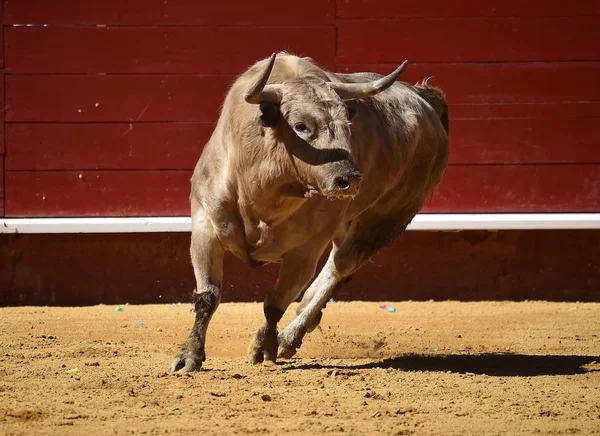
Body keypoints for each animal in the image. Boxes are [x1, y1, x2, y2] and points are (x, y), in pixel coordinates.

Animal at [166, 52, 448, 372]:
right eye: (300, 126)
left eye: (347, 126)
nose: (349, 178)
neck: (261, 191)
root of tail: (424, 99)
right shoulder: (205, 226)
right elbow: (208, 297)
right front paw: (189, 356)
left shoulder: (305, 251)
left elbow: (274, 304)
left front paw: (264, 347)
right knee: (336, 269)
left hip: (383, 222)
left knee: (340, 268)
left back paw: (291, 336)